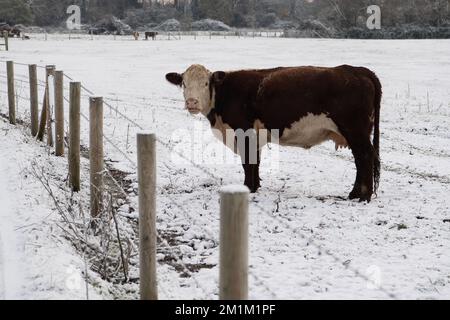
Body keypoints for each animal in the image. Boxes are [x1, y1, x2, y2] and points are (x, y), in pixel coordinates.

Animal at [166, 64, 384, 202]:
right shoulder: (255, 136)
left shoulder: (243, 132)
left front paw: (248, 188)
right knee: (361, 159)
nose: (192, 102)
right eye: (184, 83)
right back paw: (356, 193)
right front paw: (255, 186)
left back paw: (362, 196)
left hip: (355, 130)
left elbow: (248, 163)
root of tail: (356, 70)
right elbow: (255, 163)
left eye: (206, 83)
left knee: (365, 157)